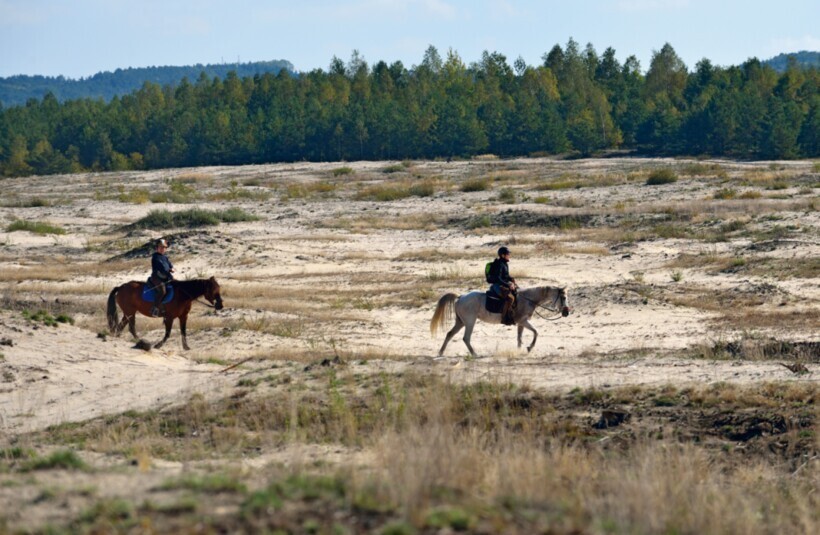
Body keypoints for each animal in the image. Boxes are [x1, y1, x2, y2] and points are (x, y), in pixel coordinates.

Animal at [430, 286, 572, 358]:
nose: (566, 312)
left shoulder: (521, 323)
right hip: (469, 322)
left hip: (460, 322)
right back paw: (474, 354)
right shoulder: (523, 321)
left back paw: (441, 352)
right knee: (466, 338)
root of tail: (461, 297)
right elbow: (536, 332)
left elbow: (519, 338)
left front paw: (519, 350)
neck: (528, 299)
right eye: (563, 297)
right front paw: (529, 347)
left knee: (449, 334)